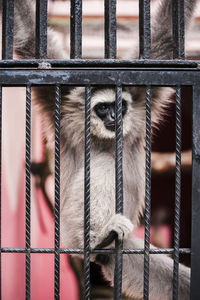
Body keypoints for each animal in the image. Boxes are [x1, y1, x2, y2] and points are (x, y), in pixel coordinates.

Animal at [10, 0, 196, 298]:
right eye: (103, 107)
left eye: (118, 106)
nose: (113, 118)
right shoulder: (62, 103)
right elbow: (29, 38)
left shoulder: (141, 98)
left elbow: (167, 38)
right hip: (72, 234)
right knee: (103, 164)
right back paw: (99, 238)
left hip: (126, 255)